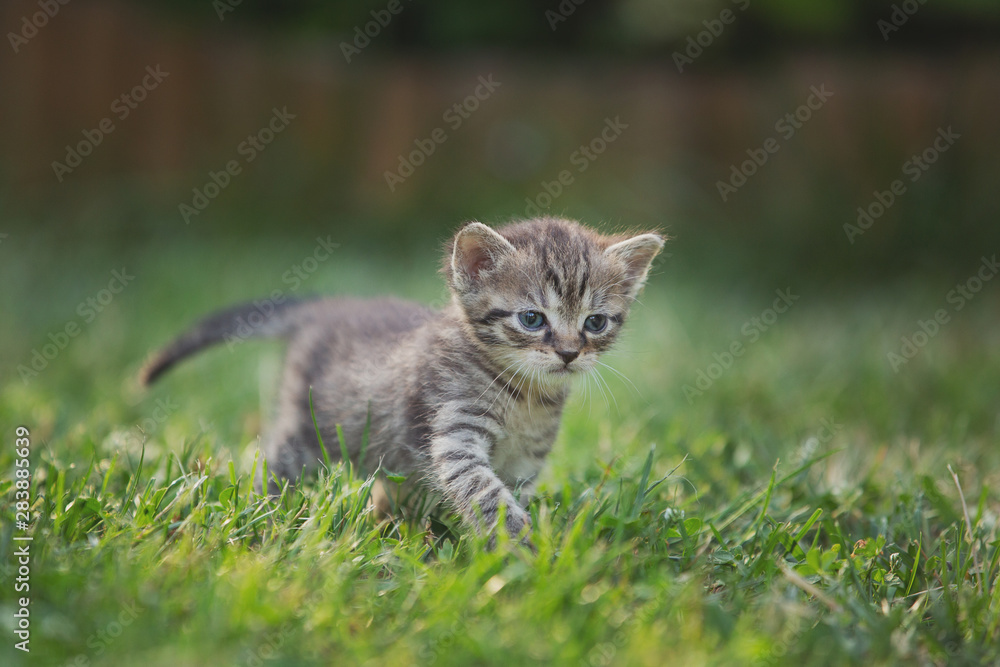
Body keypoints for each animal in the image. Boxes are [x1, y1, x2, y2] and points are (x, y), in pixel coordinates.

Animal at [139, 218, 656, 544]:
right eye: (532, 319)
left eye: (594, 323)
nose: (569, 353)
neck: (526, 398)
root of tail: (328, 307)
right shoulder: (453, 431)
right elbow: (485, 493)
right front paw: (520, 546)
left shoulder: (527, 459)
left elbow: (510, 492)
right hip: (309, 428)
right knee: (278, 460)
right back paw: (269, 509)